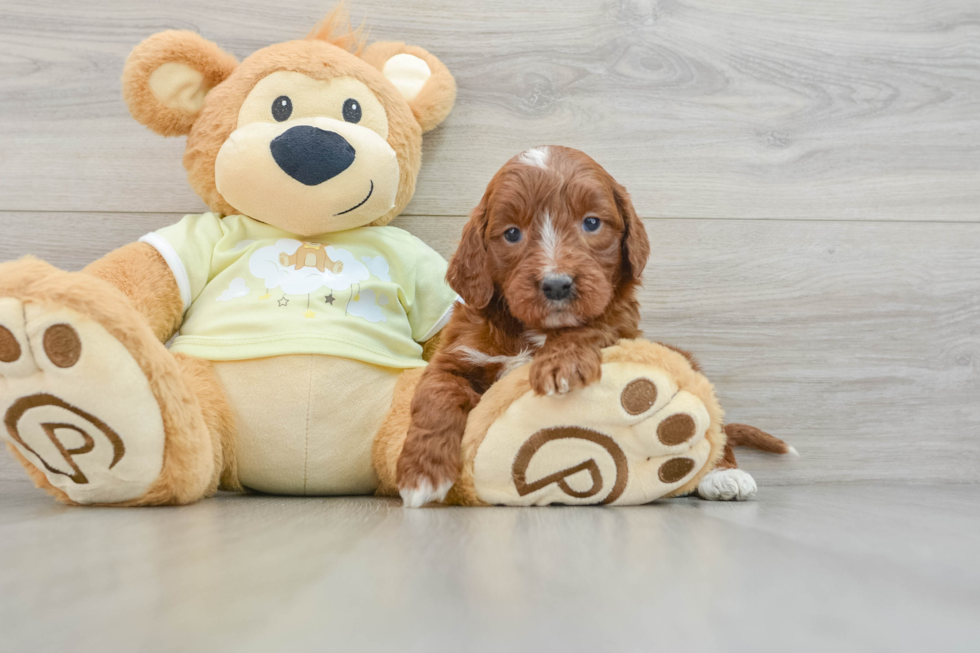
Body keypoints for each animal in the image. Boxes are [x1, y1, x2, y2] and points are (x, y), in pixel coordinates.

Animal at [394, 145, 648, 506]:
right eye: (512, 233)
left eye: (592, 222)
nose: (556, 285)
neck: (529, 331)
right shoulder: (455, 355)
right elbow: (435, 396)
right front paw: (422, 474)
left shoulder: (621, 322)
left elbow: (594, 324)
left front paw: (560, 363)